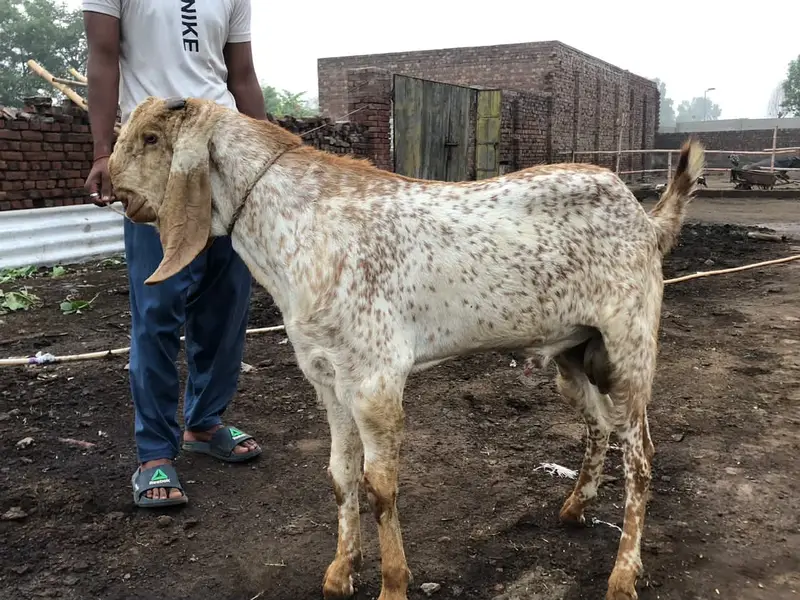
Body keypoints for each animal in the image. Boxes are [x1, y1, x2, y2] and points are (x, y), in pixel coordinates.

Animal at [108, 96, 705, 600]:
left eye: (153, 138)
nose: (114, 190)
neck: (302, 225)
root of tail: (647, 221)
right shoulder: (328, 377)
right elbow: (340, 474)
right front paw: (340, 572)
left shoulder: (375, 378)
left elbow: (379, 485)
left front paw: (393, 584)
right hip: (574, 351)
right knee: (600, 426)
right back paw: (576, 507)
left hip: (629, 345)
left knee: (642, 456)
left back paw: (623, 574)